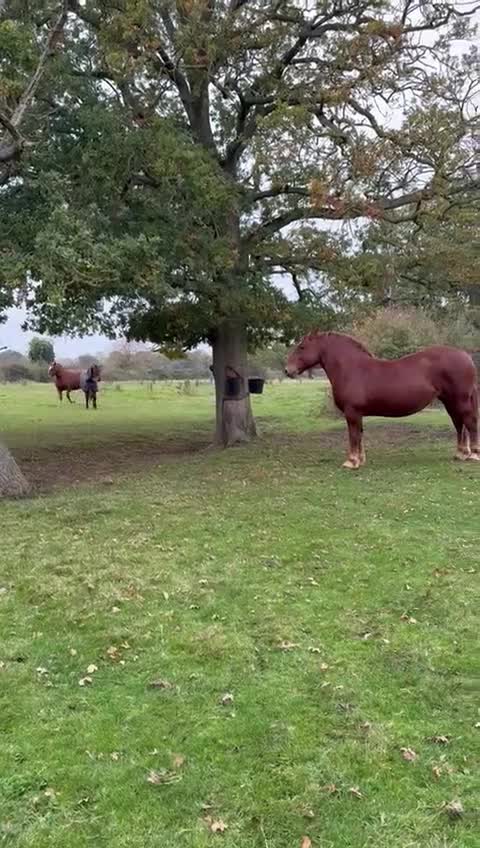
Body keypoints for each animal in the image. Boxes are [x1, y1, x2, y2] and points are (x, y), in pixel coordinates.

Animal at [285, 332, 479, 469]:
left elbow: (353, 435)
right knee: (459, 424)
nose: (288, 370)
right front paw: (360, 460)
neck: (351, 369)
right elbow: (360, 435)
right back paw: (461, 454)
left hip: (460, 400)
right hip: (450, 401)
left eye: (302, 347)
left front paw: (351, 461)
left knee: (469, 422)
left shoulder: (352, 413)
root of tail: (465, 356)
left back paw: (474, 455)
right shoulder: (358, 414)